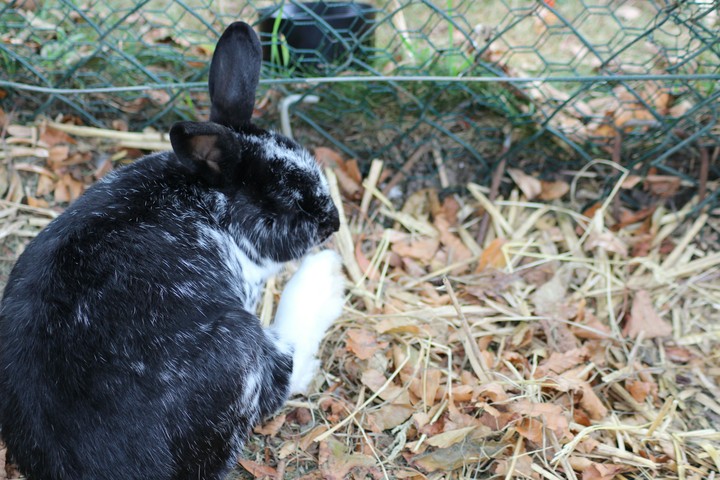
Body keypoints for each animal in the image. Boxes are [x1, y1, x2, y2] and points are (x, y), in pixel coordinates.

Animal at [0, 21, 344, 480]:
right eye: (286, 201)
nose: (332, 222)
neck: (213, 205)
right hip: (241, 344)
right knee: (283, 373)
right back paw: (324, 280)